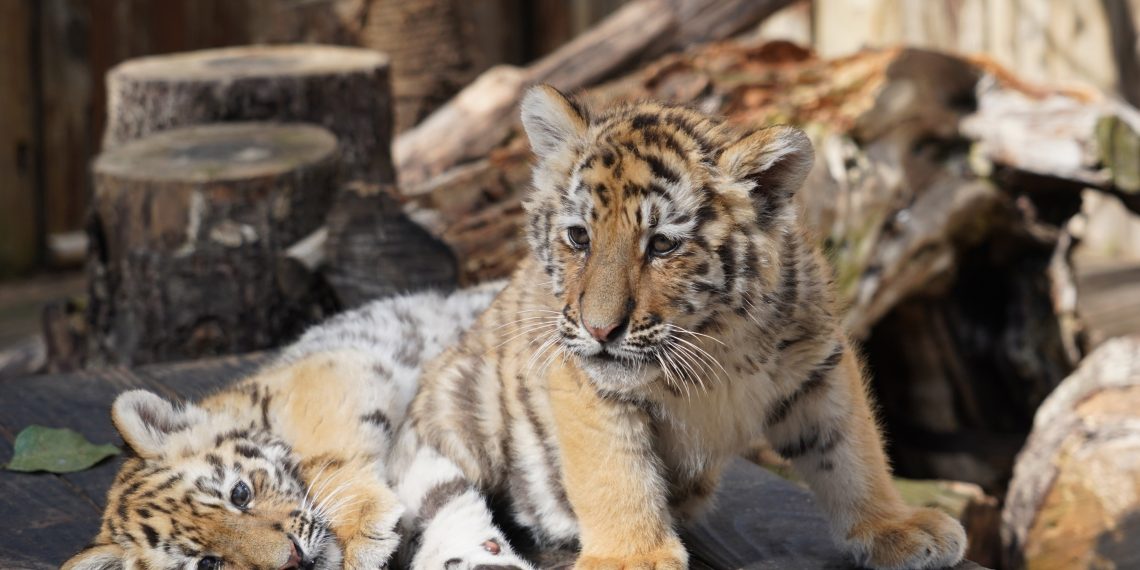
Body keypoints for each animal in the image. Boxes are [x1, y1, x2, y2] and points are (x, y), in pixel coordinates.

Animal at [62, 283, 537, 570]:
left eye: (240, 494)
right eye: (209, 564)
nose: (292, 559)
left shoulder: (339, 371)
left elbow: (325, 460)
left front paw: (365, 533)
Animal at [396, 85, 969, 570]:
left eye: (663, 245)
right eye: (579, 237)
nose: (600, 330)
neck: (715, 343)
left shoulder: (818, 362)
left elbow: (850, 450)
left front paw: (896, 527)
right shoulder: (589, 386)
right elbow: (616, 473)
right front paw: (632, 557)